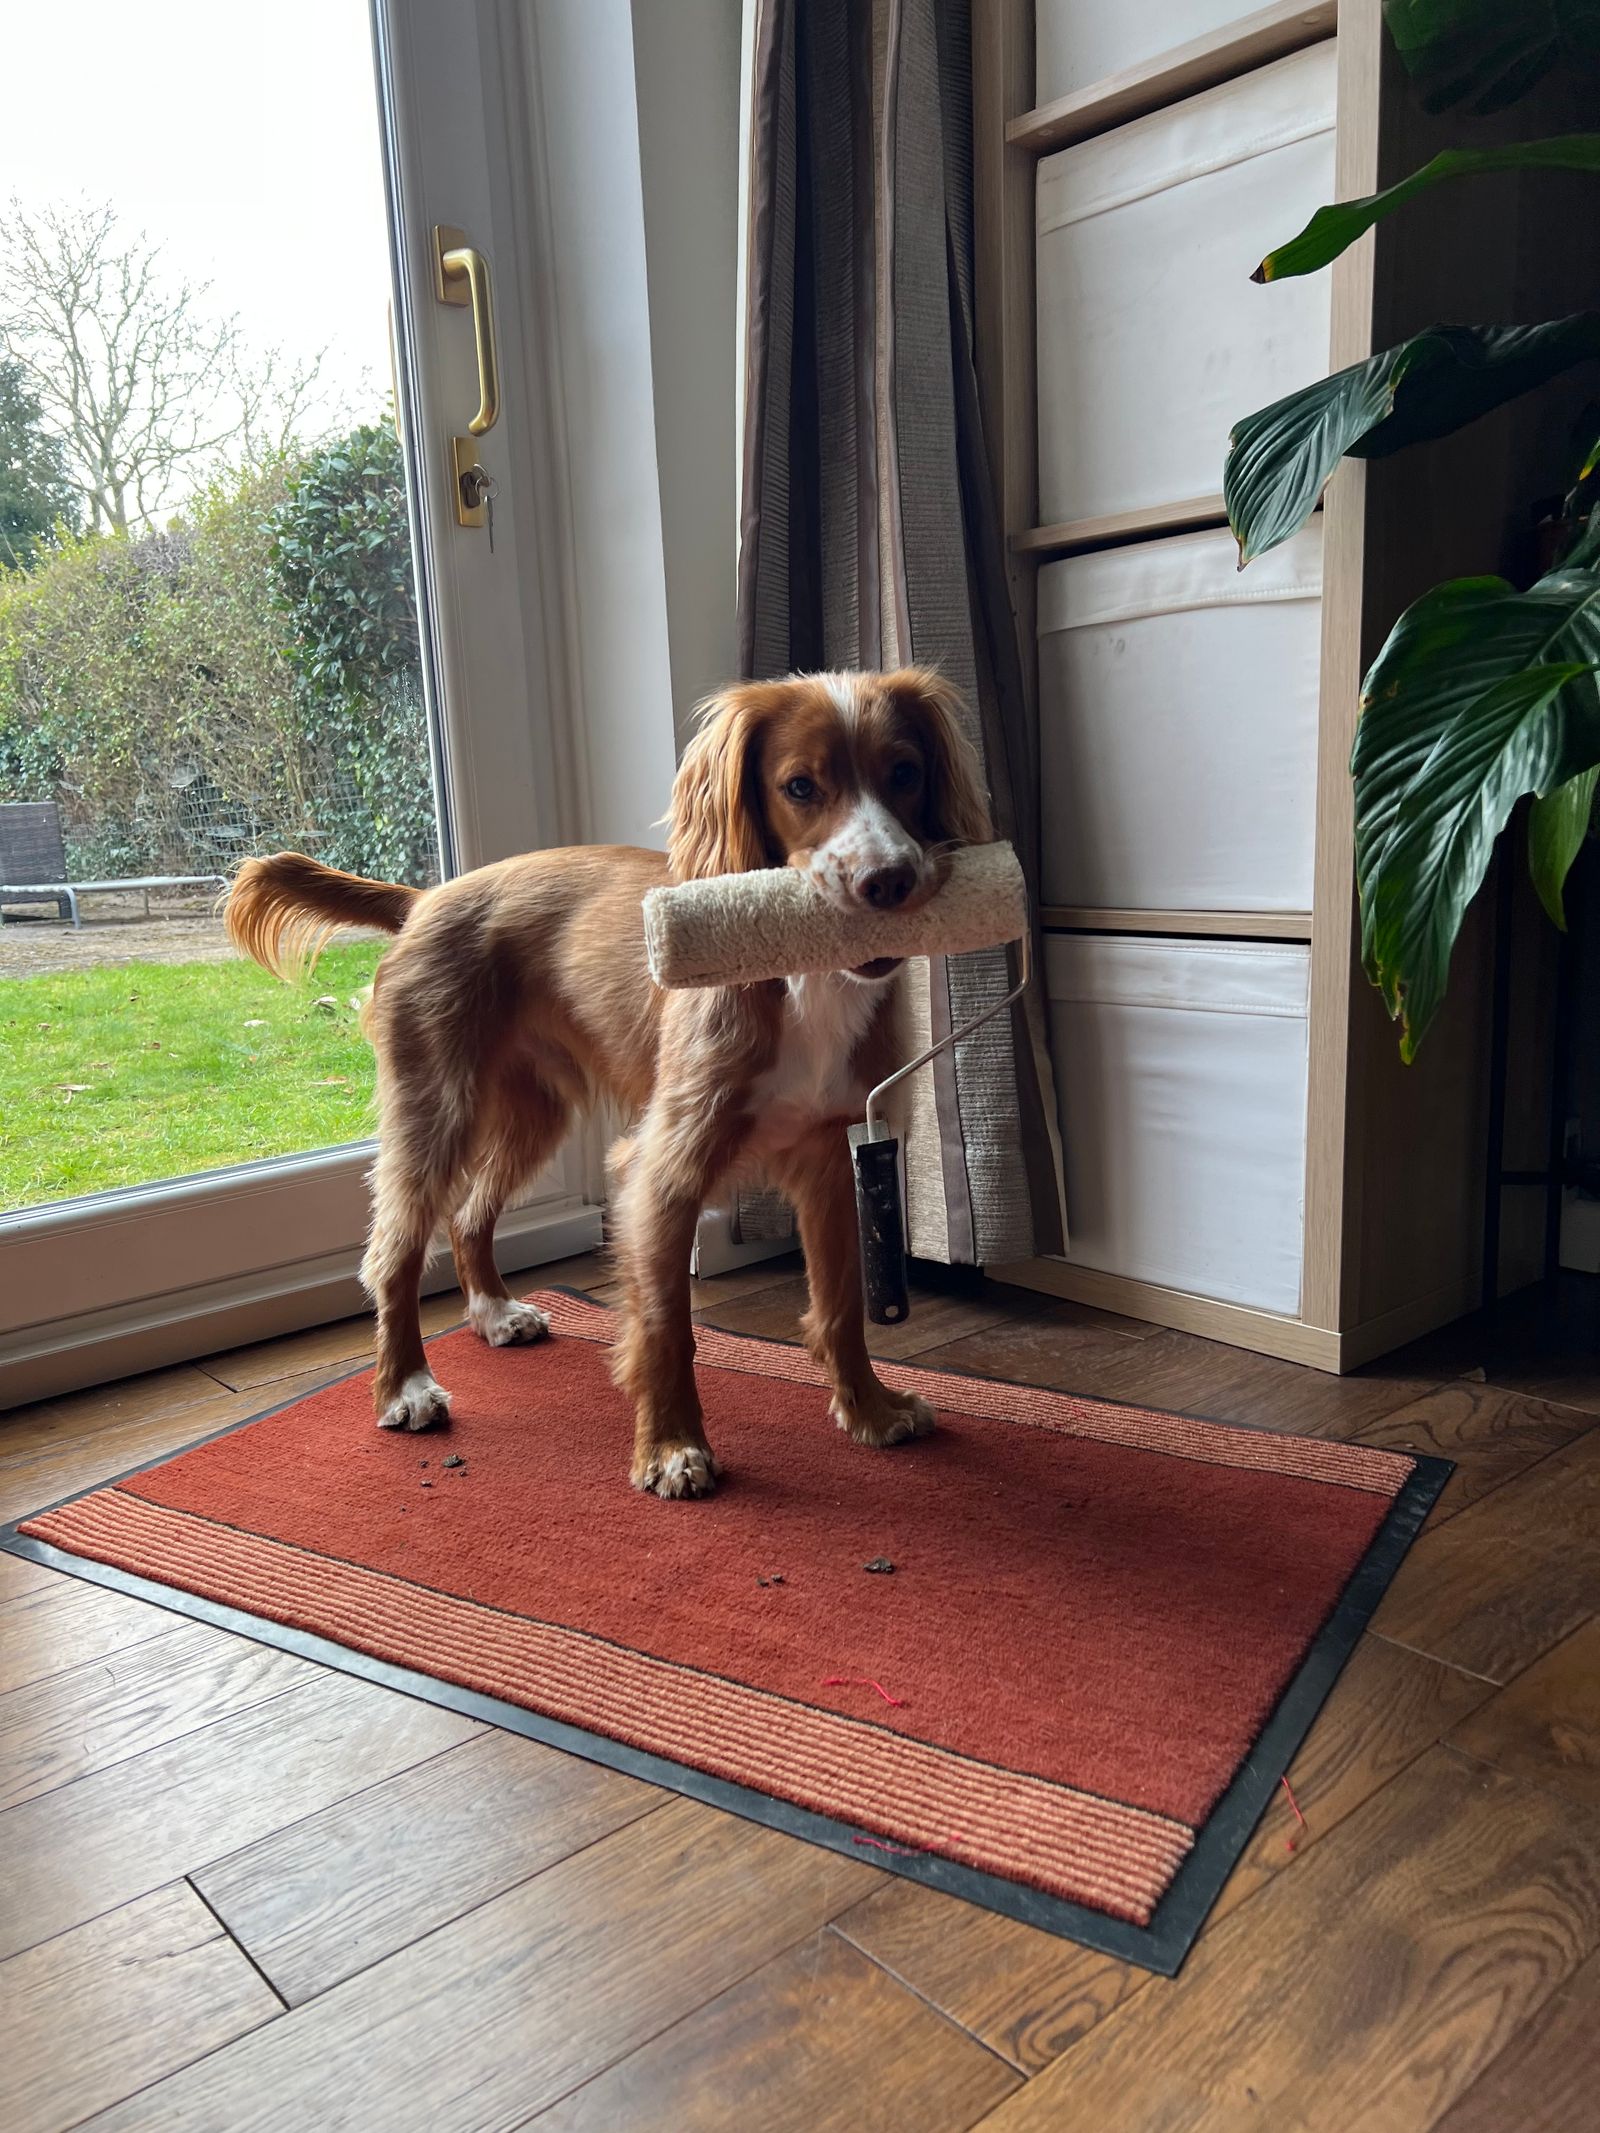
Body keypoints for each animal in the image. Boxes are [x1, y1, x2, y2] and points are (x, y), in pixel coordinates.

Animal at [228, 665, 989, 1501]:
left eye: (905, 772)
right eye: (799, 786)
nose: (889, 880)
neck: (803, 983)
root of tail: (425, 898)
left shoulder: (828, 1155)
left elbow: (842, 1305)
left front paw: (870, 1411)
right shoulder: (659, 1171)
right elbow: (664, 1323)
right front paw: (671, 1448)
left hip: (533, 1116)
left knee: (468, 1213)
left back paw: (494, 1313)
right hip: (437, 1109)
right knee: (392, 1250)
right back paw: (405, 1387)